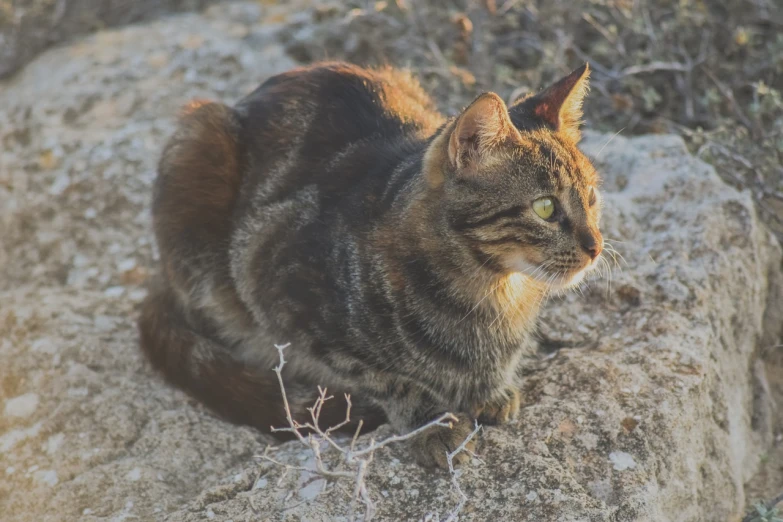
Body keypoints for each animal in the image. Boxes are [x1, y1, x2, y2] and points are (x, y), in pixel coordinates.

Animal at [139, 62, 608, 468]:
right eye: (545, 207)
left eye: (591, 197)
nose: (596, 246)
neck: (491, 290)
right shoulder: (277, 291)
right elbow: (384, 376)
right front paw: (430, 423)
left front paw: (491, 390)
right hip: (200, 147)